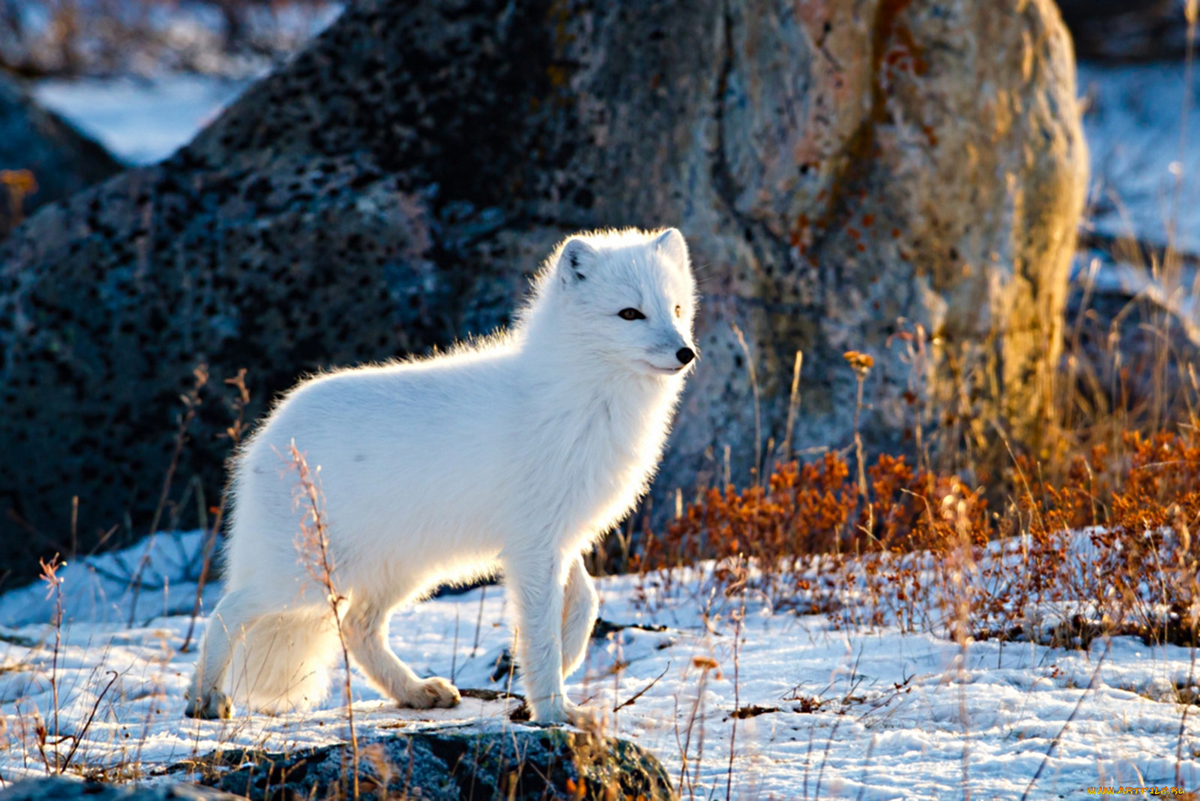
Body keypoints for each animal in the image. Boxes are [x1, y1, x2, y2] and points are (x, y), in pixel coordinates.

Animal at [182, 226, 700, 724]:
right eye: (630, 314)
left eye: (676, 308)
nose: (686, 353)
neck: (582, 395)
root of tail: (267, 437)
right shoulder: (534, 546)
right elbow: (540, 631)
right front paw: (553, 710)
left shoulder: (559, 535)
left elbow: (587, 603)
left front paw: (567, 661)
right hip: (305, 578)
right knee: (228, 609)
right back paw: (204, 698)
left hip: (399, 572)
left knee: (356, 627)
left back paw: (415, 692)